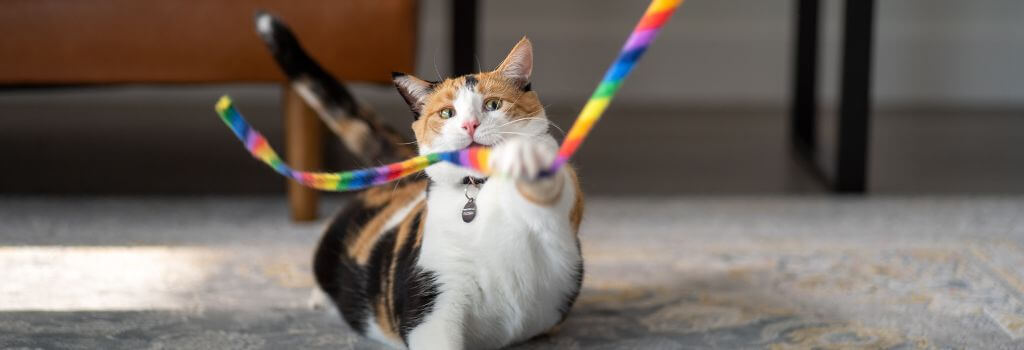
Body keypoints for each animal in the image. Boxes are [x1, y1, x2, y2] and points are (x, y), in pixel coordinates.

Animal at [256, 12, 585, 347]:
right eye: (447, 113)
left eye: (493, 104)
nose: (470, 124)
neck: (479, 189)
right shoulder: (433, 295)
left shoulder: (558, 236)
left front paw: (527, 159)